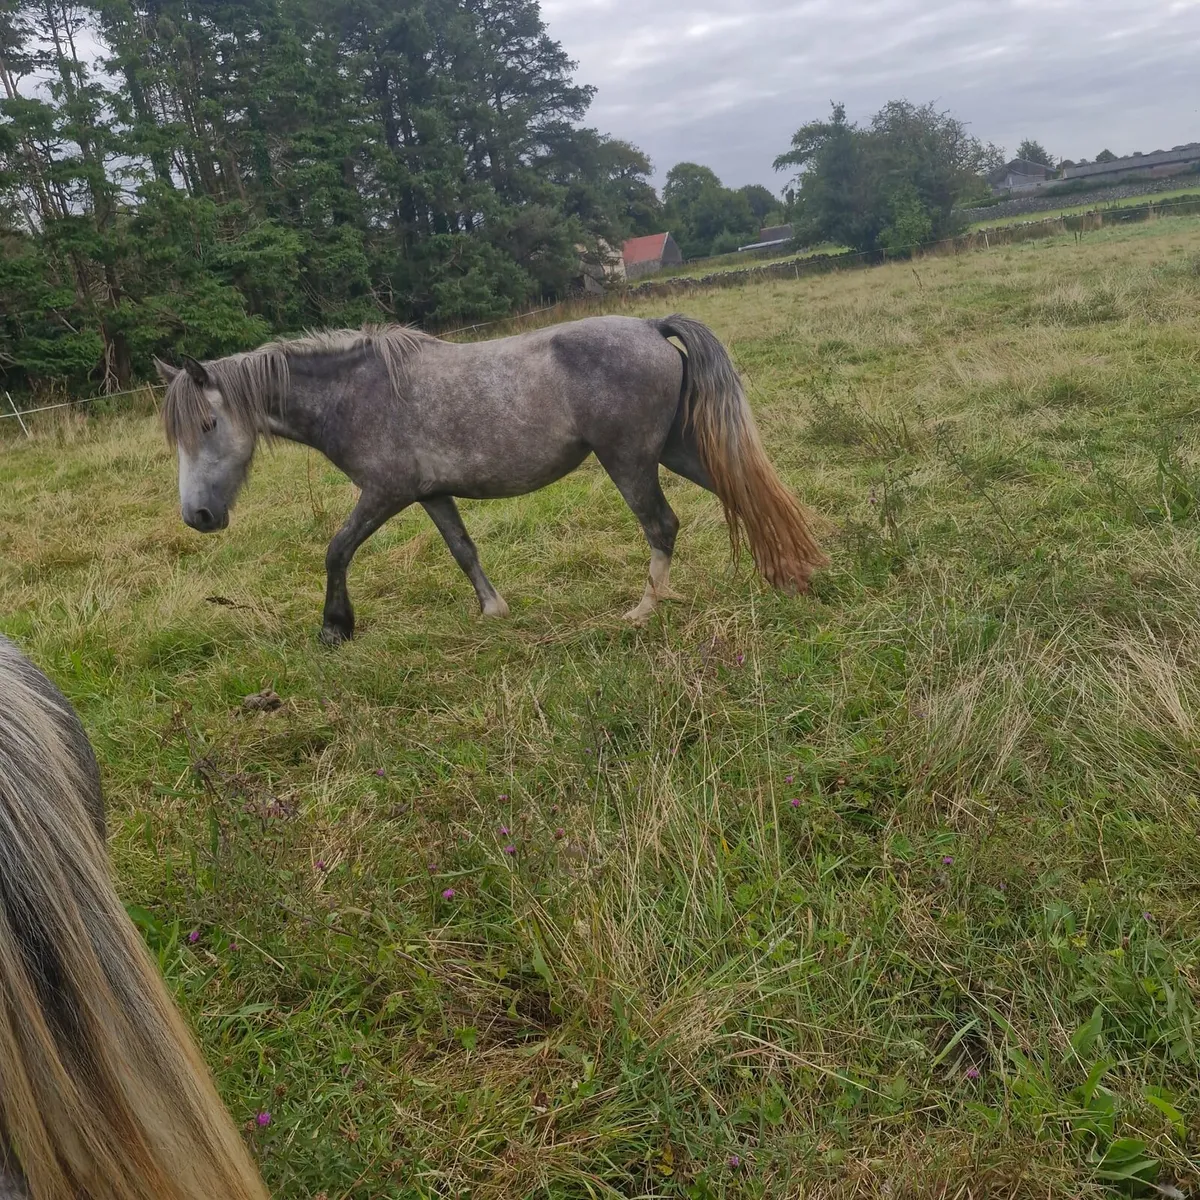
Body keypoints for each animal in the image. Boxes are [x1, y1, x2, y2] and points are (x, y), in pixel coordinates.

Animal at [157, 314, 828, 644]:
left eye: (209, 424)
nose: (198, 517)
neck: (358, 393)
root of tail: (648, 327)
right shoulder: (430, 494)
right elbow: (463, 549)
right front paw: (493, 609)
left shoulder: (385, 493)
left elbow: (337, 549)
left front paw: (334, 627)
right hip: (676, 450)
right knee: (742, 490)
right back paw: (789, 571)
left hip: (631, 460)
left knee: (662, 525)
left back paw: (644, 609)